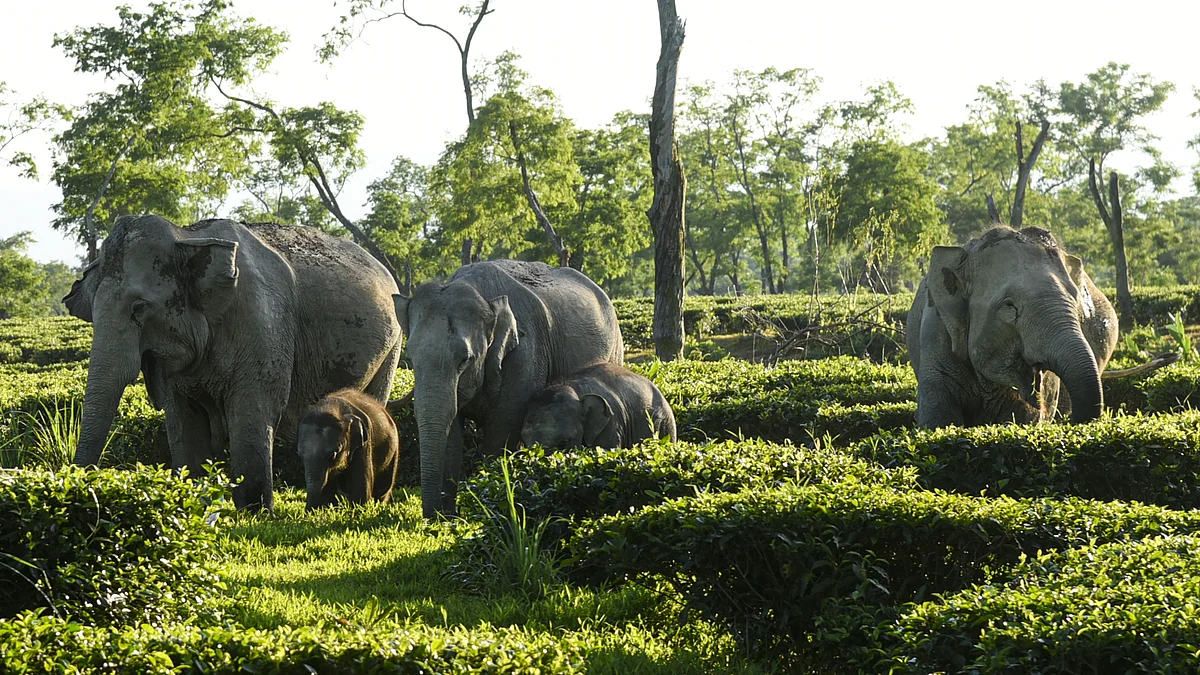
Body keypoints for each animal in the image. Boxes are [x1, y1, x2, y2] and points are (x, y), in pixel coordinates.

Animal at [64, 215, 403, 511]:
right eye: (92, 311)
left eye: (139, 308)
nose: (80, 492)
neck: (186, 236)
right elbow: (183, 419)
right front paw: (192, 508)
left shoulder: (262, 322)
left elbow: (252, 410)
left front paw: (255, 514)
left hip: (392, 347)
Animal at [394, 259, 624, 519]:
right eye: (411, 358)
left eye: (465, 360)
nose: (432, 517)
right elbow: (451, 435)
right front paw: (449, 519)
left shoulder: (525, 357)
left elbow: (501, 433)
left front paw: (488, 509)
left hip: (615, 350)